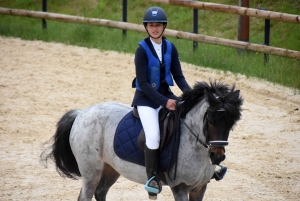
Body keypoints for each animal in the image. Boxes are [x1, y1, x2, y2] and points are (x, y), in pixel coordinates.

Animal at [41, 80, 244, 201]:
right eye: (210, 120)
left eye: (231, 123)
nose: (217, 157)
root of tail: (81, 113)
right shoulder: (180, 187)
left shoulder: (199, 188)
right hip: (91, 171)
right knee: (86, 196)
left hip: (111, 168)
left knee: (100, 192)